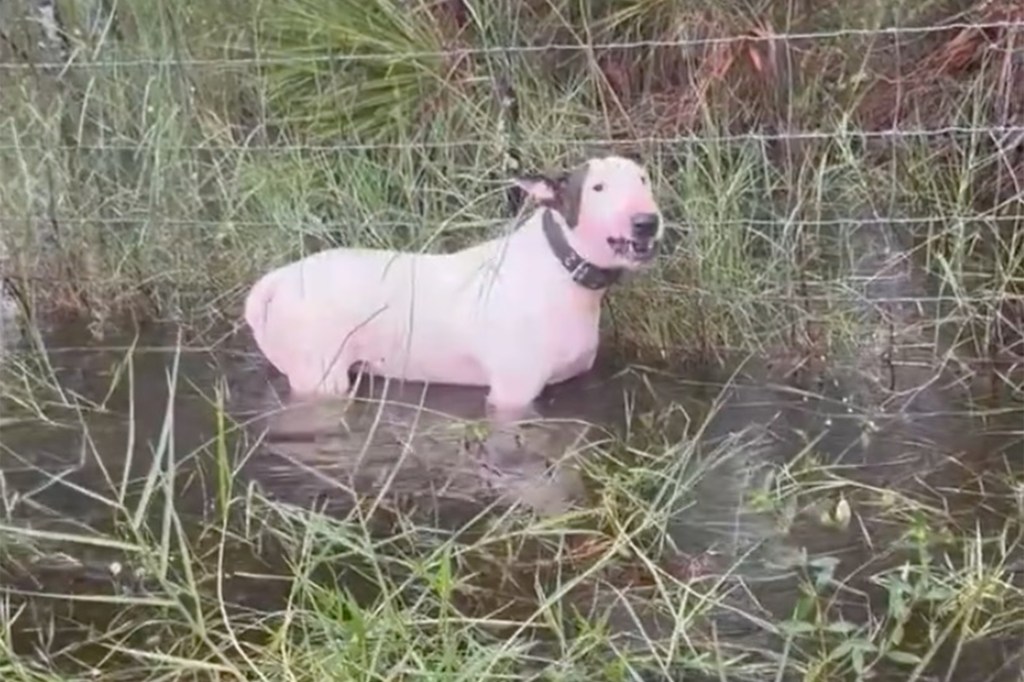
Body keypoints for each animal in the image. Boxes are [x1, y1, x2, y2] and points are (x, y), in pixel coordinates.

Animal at [244, 153, 667, 419]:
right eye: (597, 188)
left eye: (643, 179)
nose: (647, 222)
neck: (559, 268)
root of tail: (276, 280)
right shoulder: (512, 394)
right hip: (319, 376)